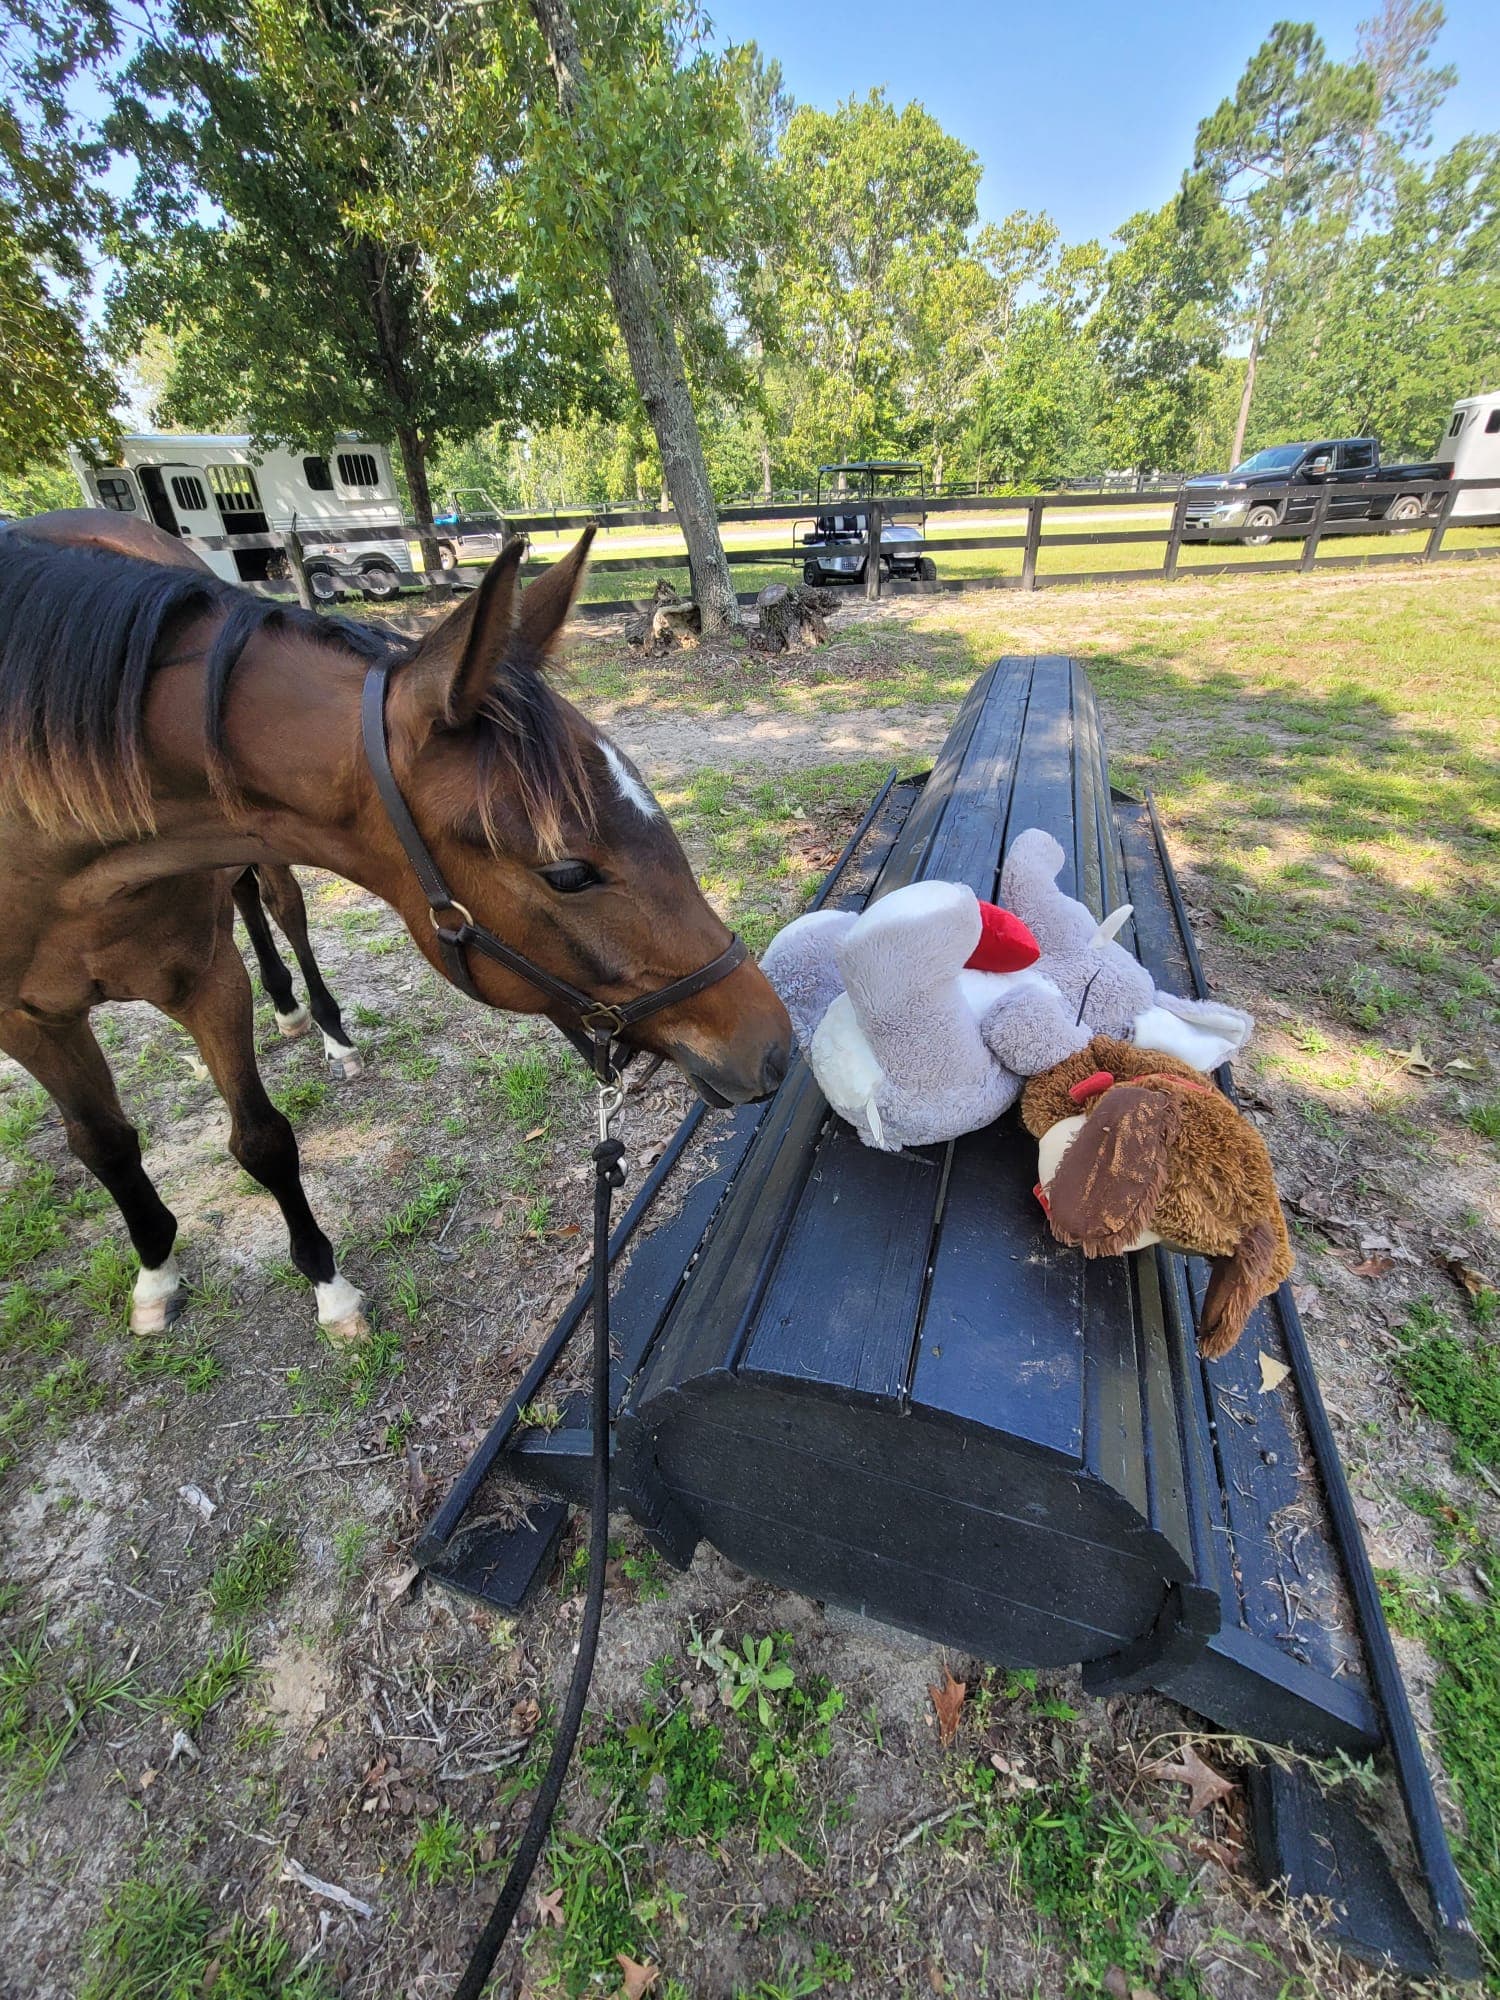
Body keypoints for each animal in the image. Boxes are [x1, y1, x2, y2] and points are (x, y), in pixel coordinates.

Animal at [0, 511, 790, 1343]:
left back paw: (311, 1020)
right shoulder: (26, 1020)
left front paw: (322, 1283)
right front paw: (158, 1271)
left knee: (273, 905)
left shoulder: (206, 977)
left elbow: (259, 1138)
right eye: (569, 872)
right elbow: (109, 1145)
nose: (775, 1047)